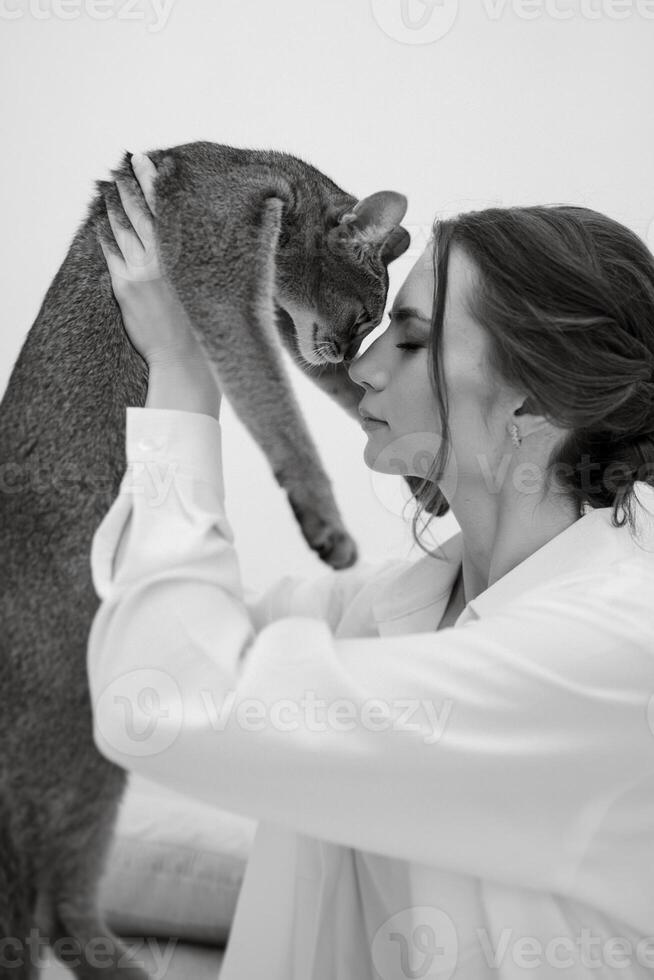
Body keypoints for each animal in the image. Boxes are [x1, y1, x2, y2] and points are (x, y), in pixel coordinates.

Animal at [0, 140, 410, 980]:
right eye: (362, 317)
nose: (350, 348)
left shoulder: (278, 316)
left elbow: (334, 393)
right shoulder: (221, 266)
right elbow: (271, 398)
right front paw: (324, 518)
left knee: (50, 903)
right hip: (63, 727)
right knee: (41, 898)